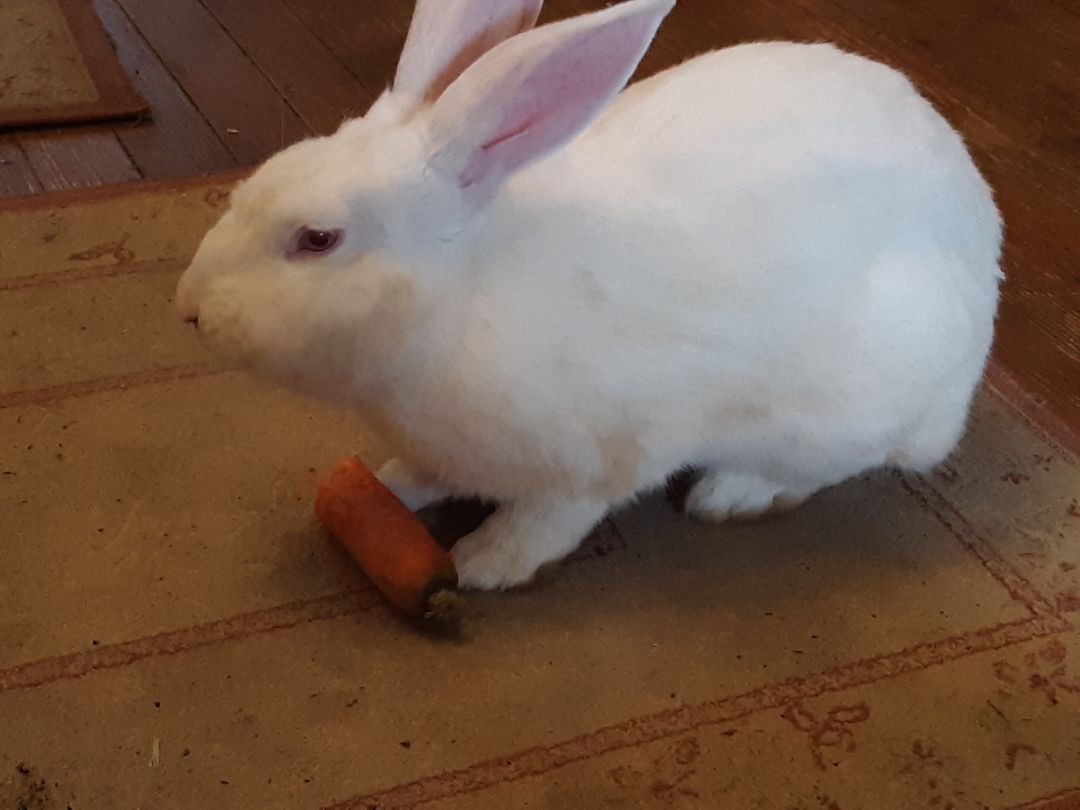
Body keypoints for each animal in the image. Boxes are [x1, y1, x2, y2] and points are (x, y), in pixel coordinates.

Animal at [176, 0, 1003, 590]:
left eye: (318, 239)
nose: (188, 309)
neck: (458, 295)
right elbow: (418, 475)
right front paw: (385, 484)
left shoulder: (595, 461)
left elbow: (549, 522)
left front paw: (485, 563)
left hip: (848, 404)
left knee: (835, 465)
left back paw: (733, 494)